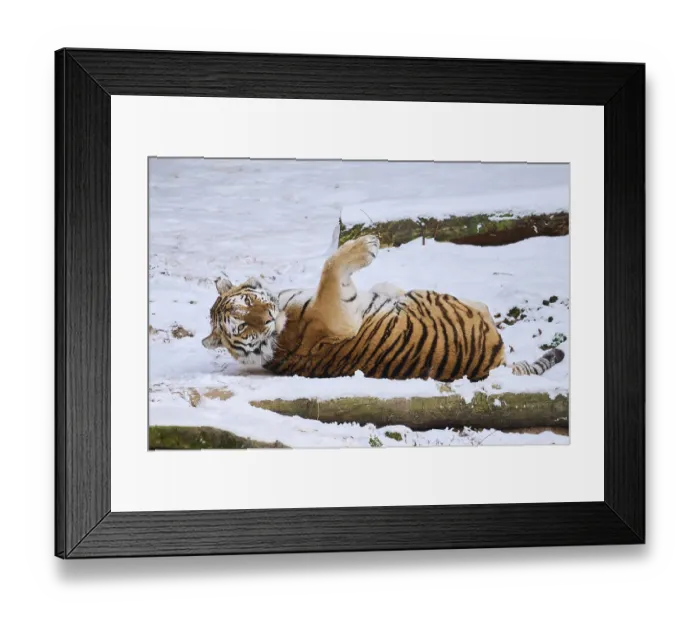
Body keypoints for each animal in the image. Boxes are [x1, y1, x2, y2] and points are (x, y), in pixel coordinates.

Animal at [202, 235, 565, 382]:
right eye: (242, 326)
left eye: (248, 303)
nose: (267, 317)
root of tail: (497, 364)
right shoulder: (335, 317)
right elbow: (329, 267)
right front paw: (366, 246)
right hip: (438, 298)